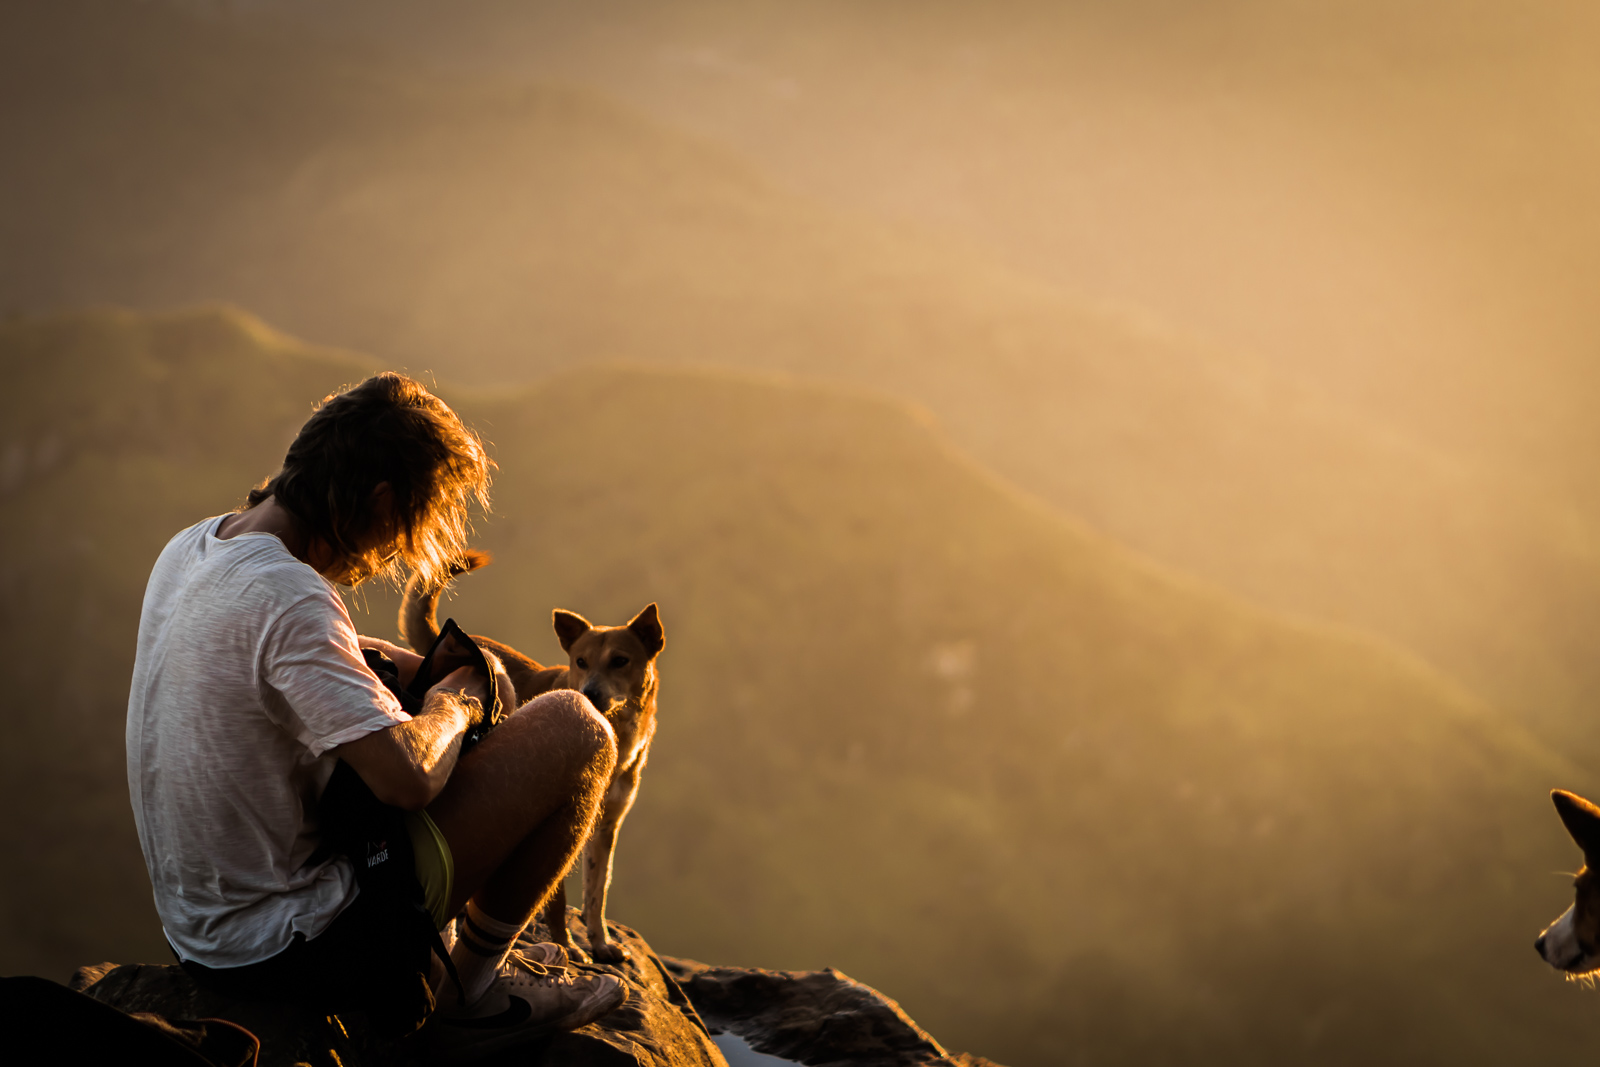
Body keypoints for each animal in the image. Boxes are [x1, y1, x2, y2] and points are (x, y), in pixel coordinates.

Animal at [406, 550, 668, 966]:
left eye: (620, 661)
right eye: (581, 662)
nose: (590, 693)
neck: (617, 735)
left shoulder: (607, 827)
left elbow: (596, 893)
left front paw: (600, 942)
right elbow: (557, 900)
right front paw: (566, 946)